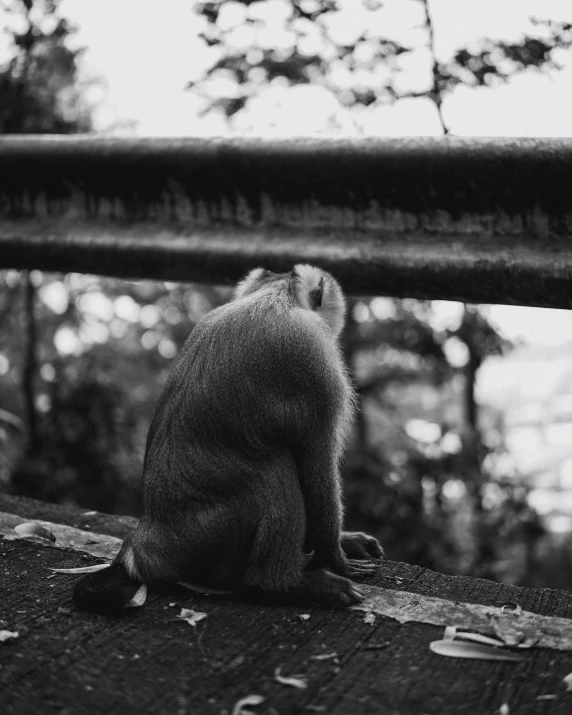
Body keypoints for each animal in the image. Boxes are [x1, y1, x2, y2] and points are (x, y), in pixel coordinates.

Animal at [72, 264, 384, 616]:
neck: (274, 294)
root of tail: (144, 547)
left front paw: (346, 542)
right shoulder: (313, 361)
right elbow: (316, 463)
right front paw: (337, 558)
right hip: (209, 539)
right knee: (276, 467)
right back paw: (282, 585)